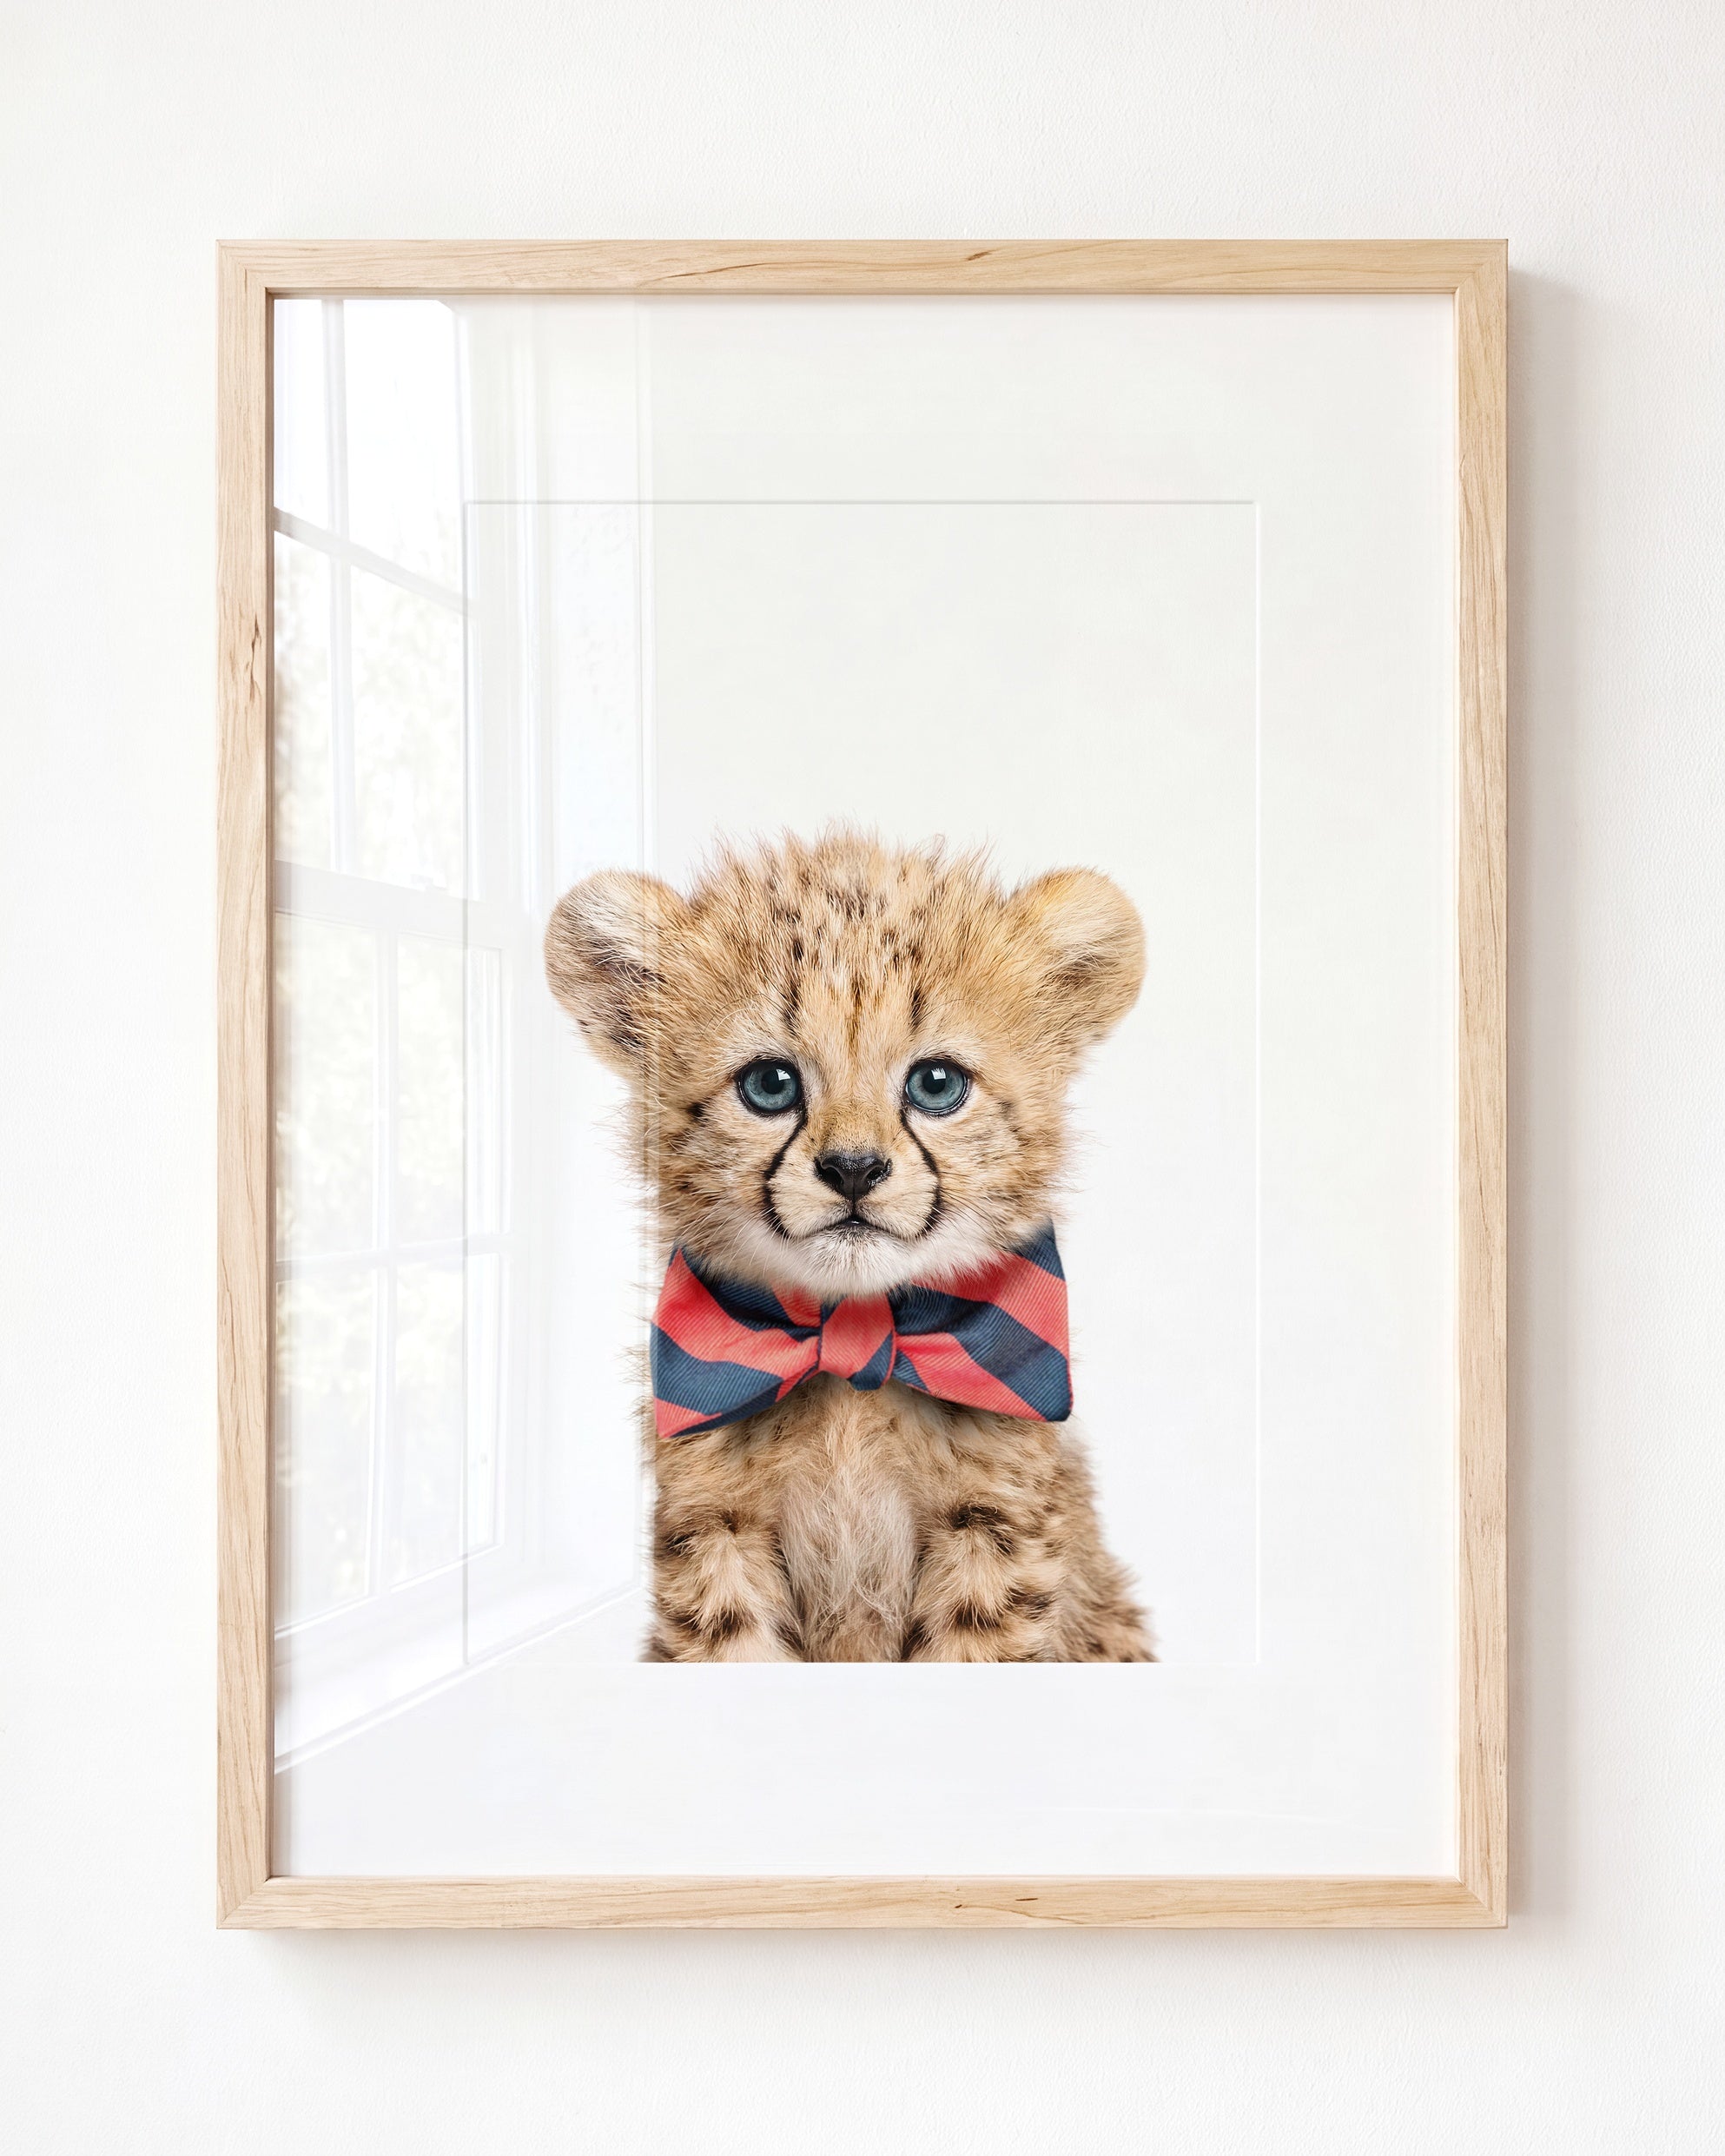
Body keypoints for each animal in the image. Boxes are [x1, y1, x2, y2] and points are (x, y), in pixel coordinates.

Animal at [543, 827, 1153, 1663]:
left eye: (936, 1084)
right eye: (770, 1084)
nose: (854, 1169)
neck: (853, 1346)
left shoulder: (994, 1532)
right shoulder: (715, 1529)